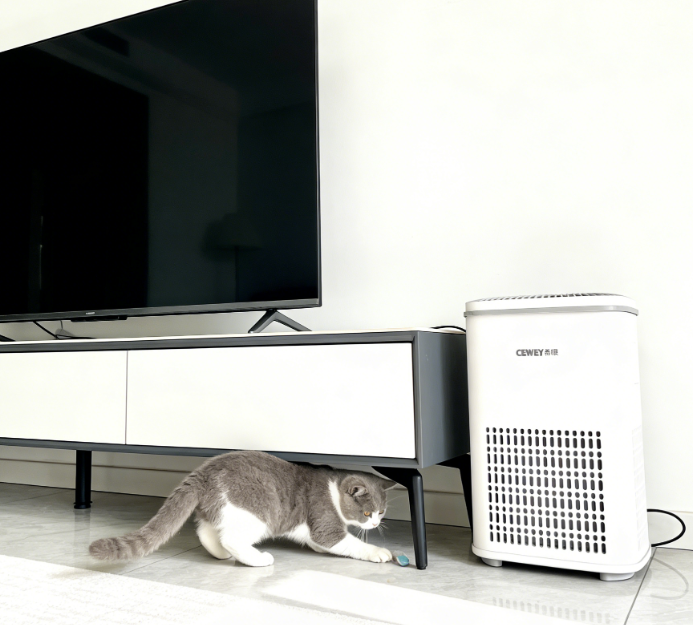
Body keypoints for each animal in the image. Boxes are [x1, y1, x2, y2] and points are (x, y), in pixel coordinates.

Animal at [89, 450, 397, 567]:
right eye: (367, 513)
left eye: (382, 512)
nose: (375, 524)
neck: (333, 488)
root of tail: (203, 472)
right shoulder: (325, 524)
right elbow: (348, 542)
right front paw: (379, 551)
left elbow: (323, 544)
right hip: (257, 512)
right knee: (231, 537)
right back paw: (257, 558)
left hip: (222, 508)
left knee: (207, 531)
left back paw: (220, 554)